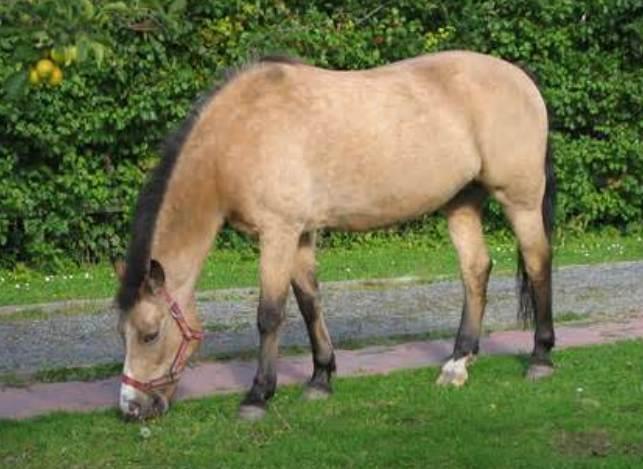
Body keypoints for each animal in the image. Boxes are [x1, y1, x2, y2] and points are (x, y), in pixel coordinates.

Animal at [115, 50, 556, 421]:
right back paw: (457, 363)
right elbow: (309, 303)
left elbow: (269, 314)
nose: (131, 408)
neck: (240, 134)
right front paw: (320, 379)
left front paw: (258, 395)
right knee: (475, 270)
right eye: (122, 334)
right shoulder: (300, 235)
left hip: (520, 200)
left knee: (537, 262)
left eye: (150, 334)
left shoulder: (278, 233)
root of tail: (522, 79)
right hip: (461, 202)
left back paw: (540, 358)